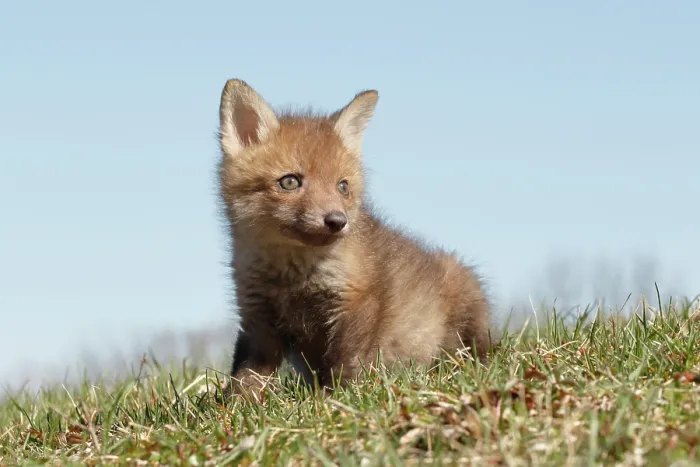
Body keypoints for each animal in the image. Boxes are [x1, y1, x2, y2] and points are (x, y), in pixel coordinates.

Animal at [217, 78, 492, 399]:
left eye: (343, 186)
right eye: (290, 182)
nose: (337, 221)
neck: (293, 277)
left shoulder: (358, 301)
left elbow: (345, 362)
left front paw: (335, 399)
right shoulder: (257, 317)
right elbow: (246, 375)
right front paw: (237, 404)